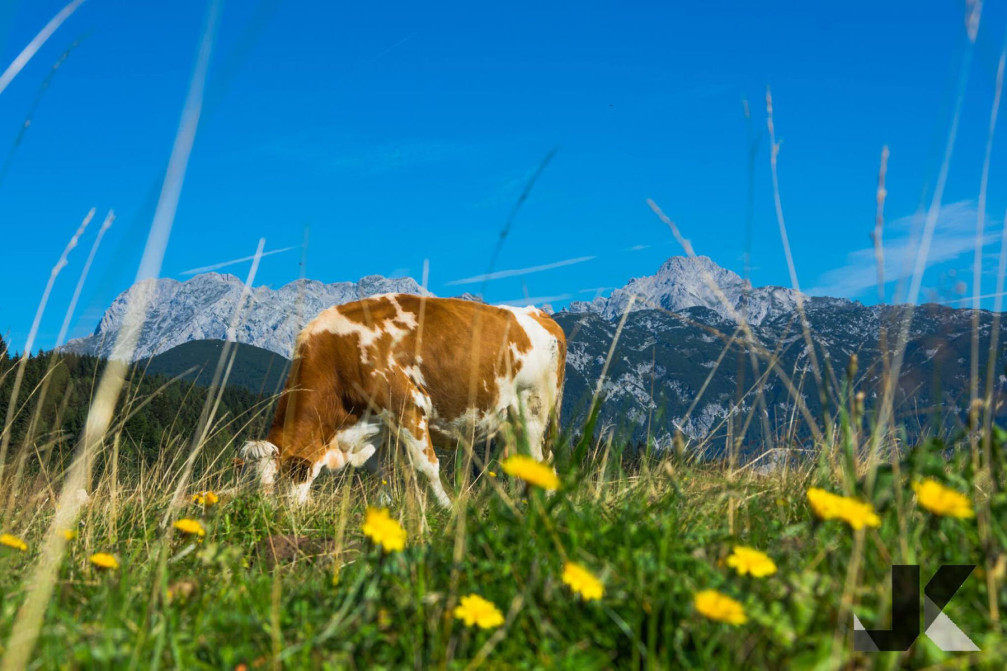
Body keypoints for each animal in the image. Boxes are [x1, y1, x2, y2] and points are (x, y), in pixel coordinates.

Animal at [237, 292, 567, 507]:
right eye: (251, 482)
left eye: (283, 476)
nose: (270, 515)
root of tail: (540, 316)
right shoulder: (375, 427)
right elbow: (379, 472)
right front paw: (386, 507)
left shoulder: (408, 406)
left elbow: (426, 467)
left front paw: (447, 509)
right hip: (509, 421)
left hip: (533, 410)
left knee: (539, 461)